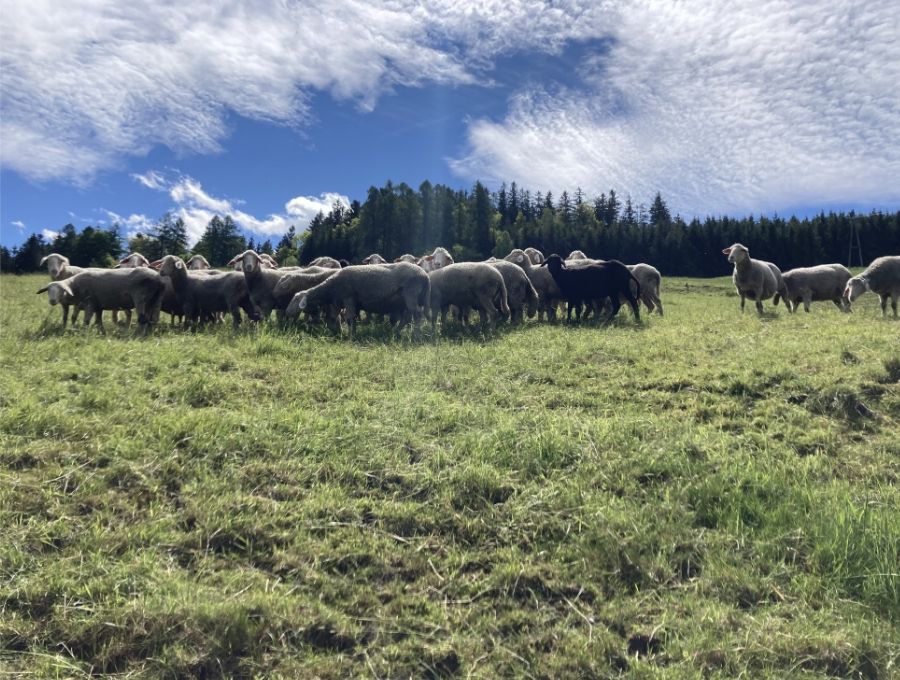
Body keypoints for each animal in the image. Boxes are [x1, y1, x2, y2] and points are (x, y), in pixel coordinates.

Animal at [36, 268, 164, 332]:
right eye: (49, 291)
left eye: (61, 290)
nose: (52, 301)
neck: (76, 287)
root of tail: (158, 278)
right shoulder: (98, 306)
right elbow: (98, 321)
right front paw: (100, 332)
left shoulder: (90, 304)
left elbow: (87, 321)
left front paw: (83, 332)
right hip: (155, 300)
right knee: (151, 318)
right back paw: (148, 331)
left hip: (141, 298)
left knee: (142, 318)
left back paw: (138, 332)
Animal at [288, 260, 428, 338]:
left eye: (295, 299)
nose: (287, 311)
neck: (331, 287)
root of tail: (424, 275)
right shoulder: (340, 302)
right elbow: (335, 318)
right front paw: (339, 332)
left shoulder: (348, 298)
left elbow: (350, 319)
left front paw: (351, 336)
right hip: (405, 300)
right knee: (407, 317)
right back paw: (396, 332)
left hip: (411, 294)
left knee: (417, 314)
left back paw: (416, 336)